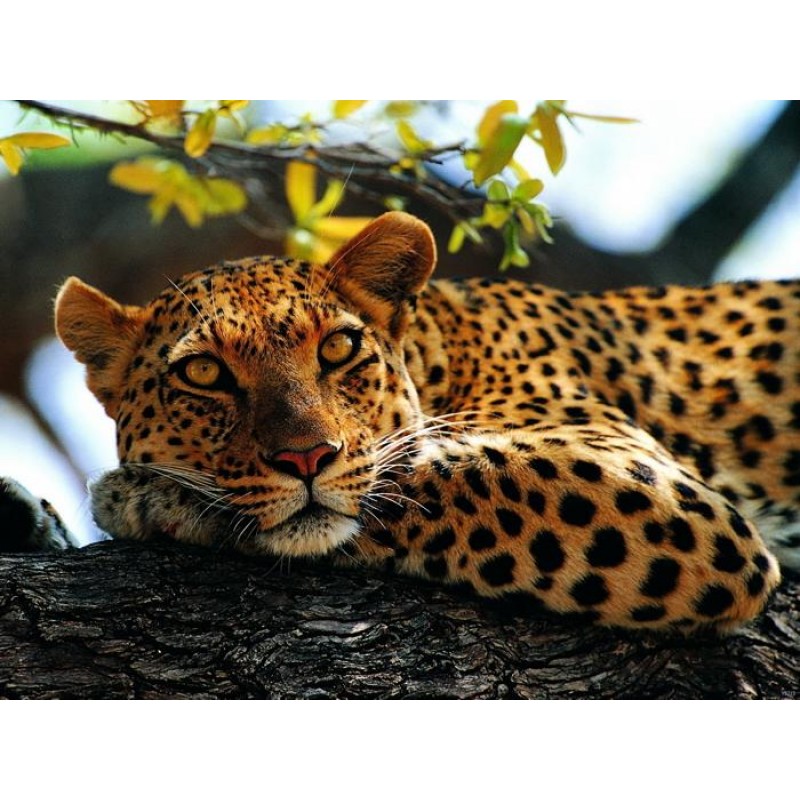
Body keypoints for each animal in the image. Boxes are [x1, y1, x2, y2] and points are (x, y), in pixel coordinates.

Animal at [18, 211, 800, 631]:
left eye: (338, 348)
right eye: (203, 374)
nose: (306, 459)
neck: (446, 350)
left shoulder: (660, 492)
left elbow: (423, 480)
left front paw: (148, 496)